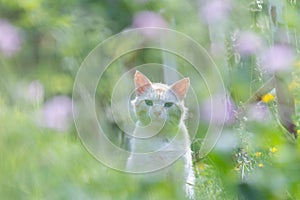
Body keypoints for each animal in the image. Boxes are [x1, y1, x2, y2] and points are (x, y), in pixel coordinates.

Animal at [126, 70, 195, 198]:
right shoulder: (148, 172)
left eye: (168, 105)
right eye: (148, 102)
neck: (160, 136)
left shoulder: (179, 174)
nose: (157, 112)